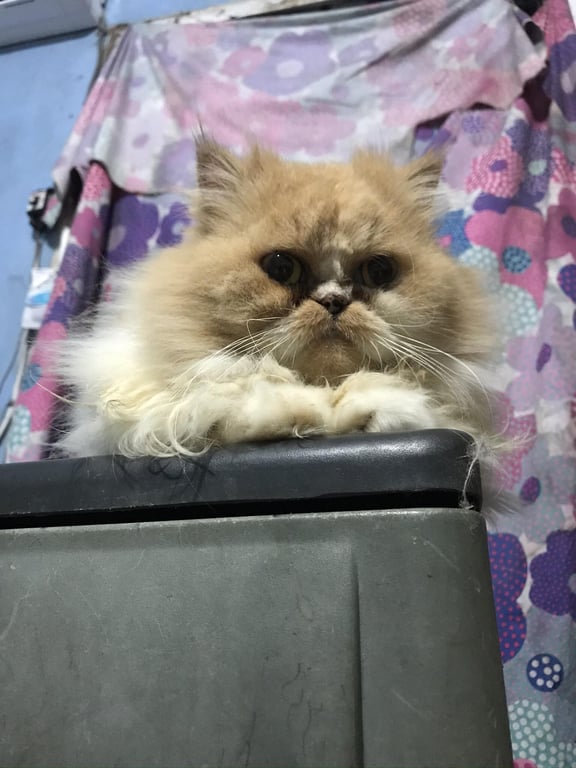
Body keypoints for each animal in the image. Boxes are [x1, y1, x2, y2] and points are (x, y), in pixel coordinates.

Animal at [57, 137, 498, 459]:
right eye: (282, 267)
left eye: (379, 271)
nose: (334, 300)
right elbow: (232, 395)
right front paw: (294, 413)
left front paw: (369, 411)